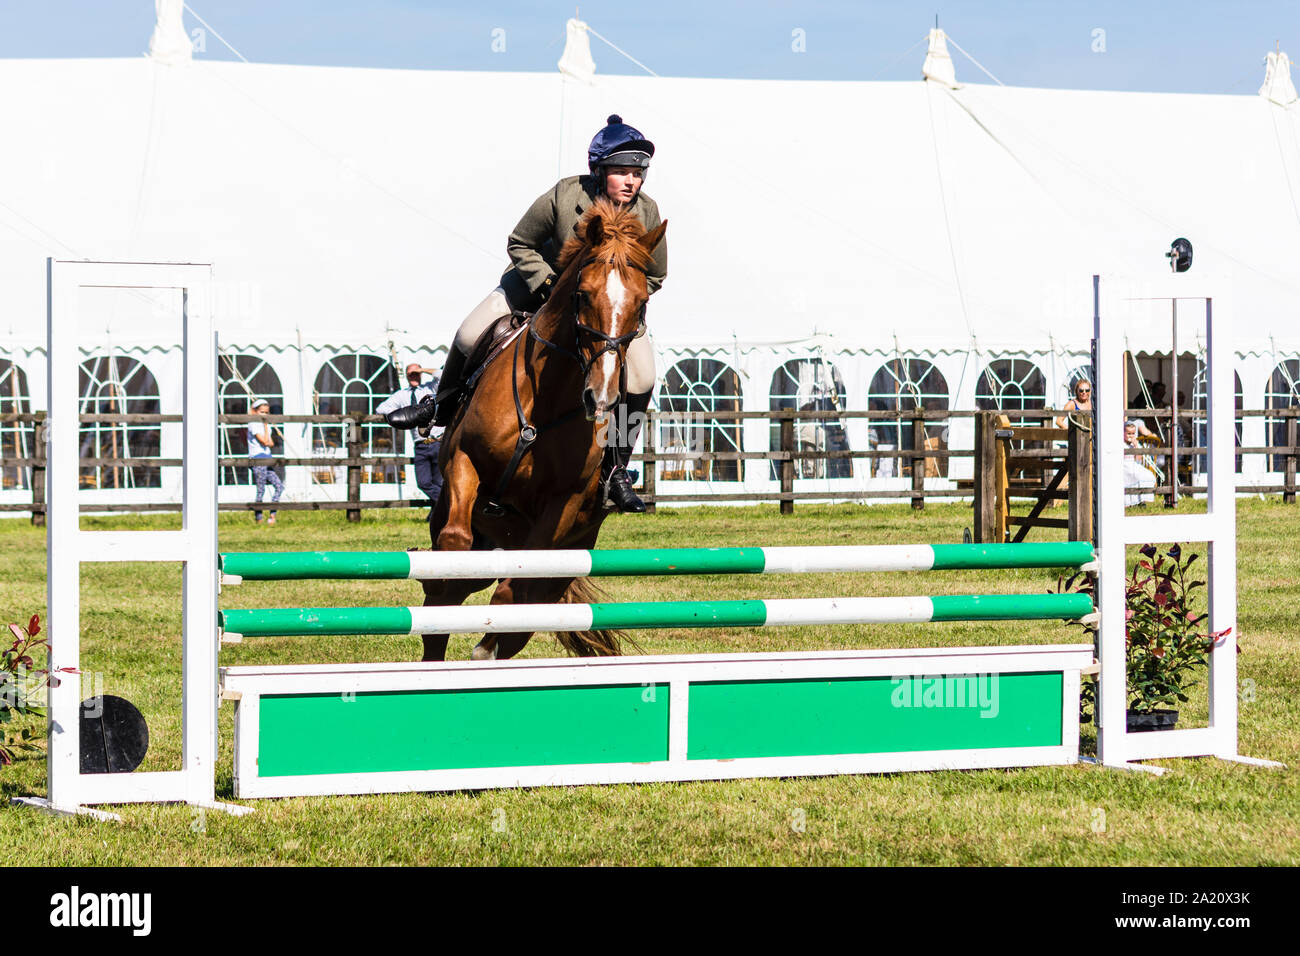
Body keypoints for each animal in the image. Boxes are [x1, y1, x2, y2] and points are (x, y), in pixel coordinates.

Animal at [419, 198, 668, 661]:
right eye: (582, 295)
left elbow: (513, 591)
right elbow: (454, 546)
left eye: (642, 302)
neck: (548, 396)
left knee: (519, 610)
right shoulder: (465, 461)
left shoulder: (562, 504)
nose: (601, 398)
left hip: (563, 564)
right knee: (442, 607)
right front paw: (444, 582)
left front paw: (485, 646)